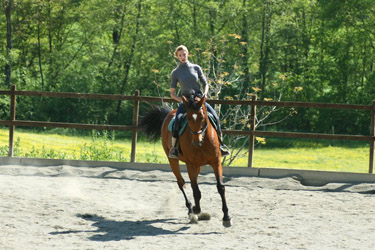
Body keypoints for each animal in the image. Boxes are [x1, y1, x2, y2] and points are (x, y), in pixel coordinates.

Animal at [139, 94, 232, 228]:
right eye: (188, 118)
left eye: (202, 117)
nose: (196, 141)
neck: (203, 142)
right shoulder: (190, 164)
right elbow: (196, 190)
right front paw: (196, 210)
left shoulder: (216, 162)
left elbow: (220, 187)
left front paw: (226, 217)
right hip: (173, 160)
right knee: (181, 183)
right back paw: (190, 210)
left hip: (198, 166)